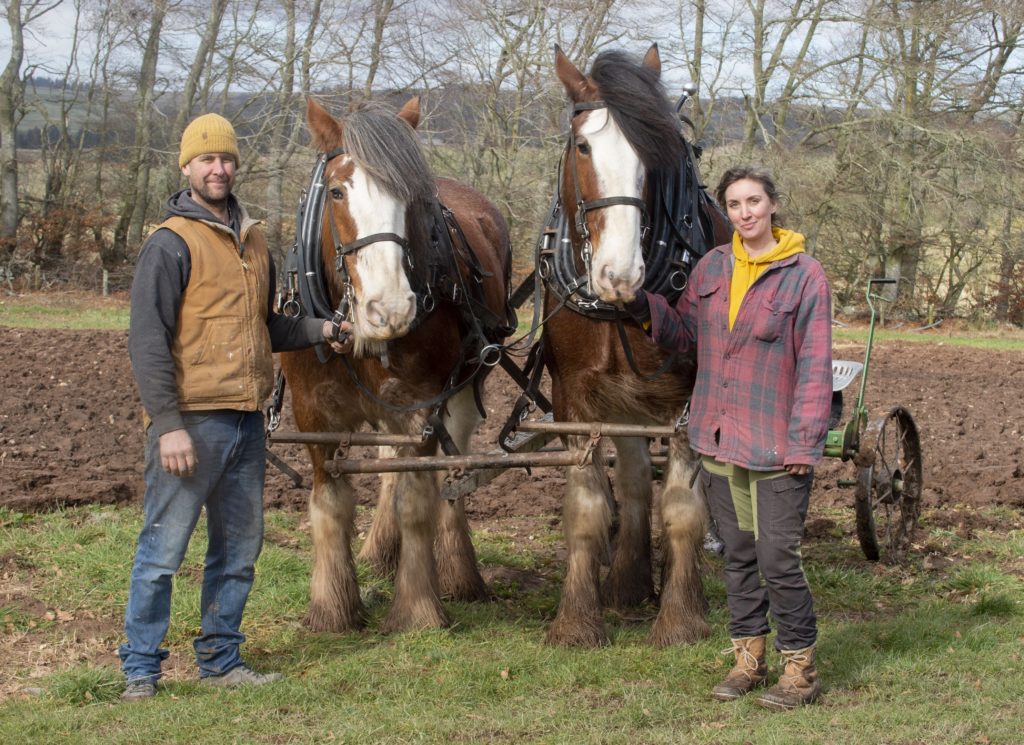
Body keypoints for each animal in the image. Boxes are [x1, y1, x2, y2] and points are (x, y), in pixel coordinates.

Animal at [282, 97, 512, 634]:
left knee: (452, 467)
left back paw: (458, 571)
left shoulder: (420, 406)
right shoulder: (312, 412)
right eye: (338, 191)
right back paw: (379, 552)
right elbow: (331, 504)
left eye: (410, 198)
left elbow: (417, 504)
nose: (389, 310)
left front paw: (419, 608)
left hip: (466, 385)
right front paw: (333, 608)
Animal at [540, 45, 733, 646]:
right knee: (631, 480)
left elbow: (684, 508)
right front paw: (577, 620)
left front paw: (682, 616)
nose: (619, 274)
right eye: (582, 146)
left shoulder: (692, 399)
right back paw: (627, 583)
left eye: (654, 150)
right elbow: (588, 507)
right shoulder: (573, 396)